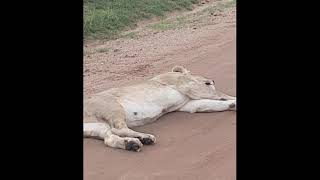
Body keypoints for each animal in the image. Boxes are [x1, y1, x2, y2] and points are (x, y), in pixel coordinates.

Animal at [84, 65, 236, 151]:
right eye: (208, 83)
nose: (212, 80)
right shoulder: (188, 86)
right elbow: (218, 94)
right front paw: (232, 99)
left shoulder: (188, 104)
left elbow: (213, 103)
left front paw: (232, 104)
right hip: (112, 106)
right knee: (118, 129)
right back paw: (145, 138)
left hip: (96, 126)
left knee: (108, 138)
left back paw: (132, 144)